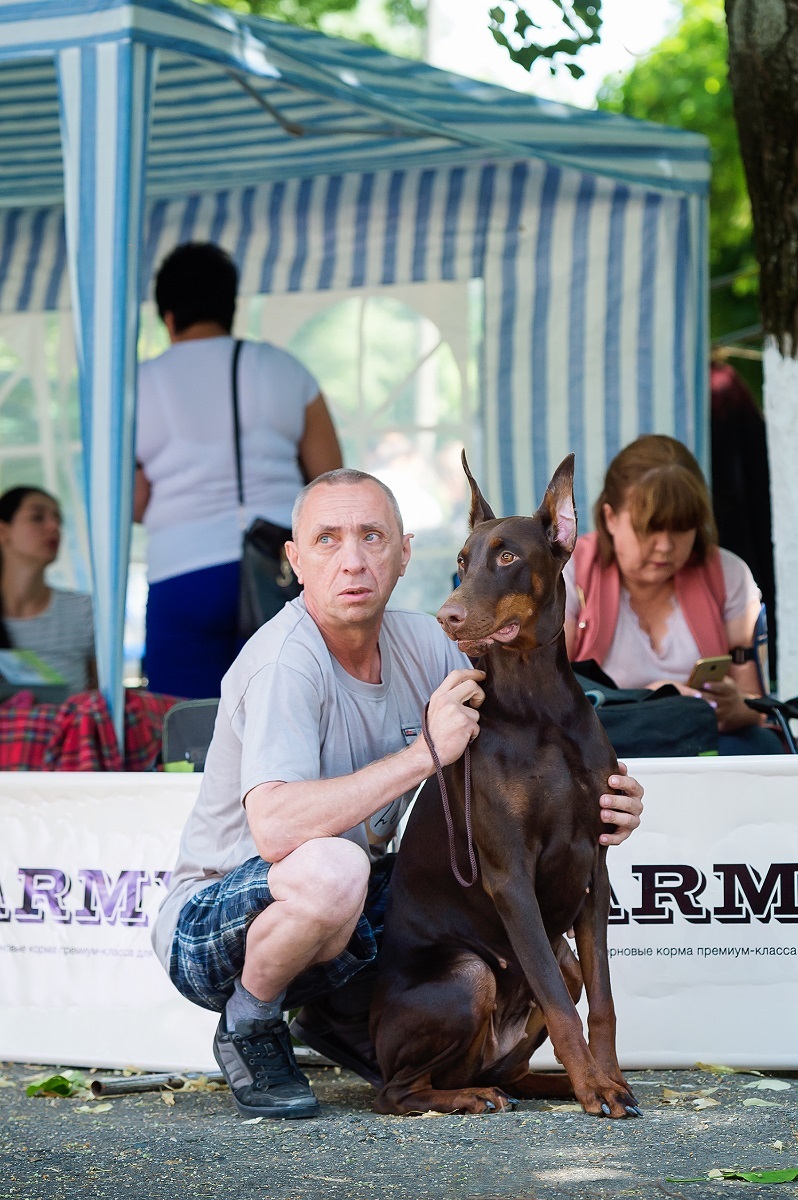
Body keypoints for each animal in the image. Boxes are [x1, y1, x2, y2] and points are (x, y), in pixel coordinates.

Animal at [369, 451, 643, 1113]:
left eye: (509, 557)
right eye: (462, 559)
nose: (448, 616)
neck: (539, 708)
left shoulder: (594, 869)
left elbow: (600, 1000)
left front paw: (607, 1079)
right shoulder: (510, 874)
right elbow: (562, 1005)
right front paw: (597, 1088)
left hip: (548, 967)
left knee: (522, 1046)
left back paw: (551, 1083)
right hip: (466, 976)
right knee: (399, 1090)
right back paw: (471, 1097)